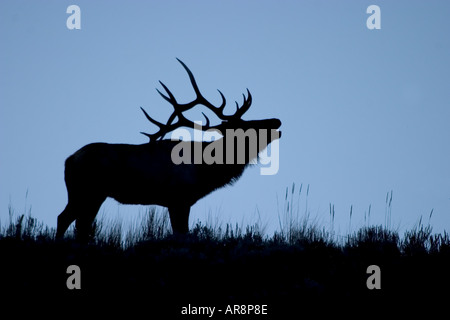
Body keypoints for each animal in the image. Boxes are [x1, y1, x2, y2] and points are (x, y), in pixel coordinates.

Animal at [56, 59, 282, 240]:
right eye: (248, 126)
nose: (276, 121)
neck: (205, 171)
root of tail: (68, 159)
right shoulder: (178, 199)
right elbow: (181, 233)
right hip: (86, 190)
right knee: (64, 218)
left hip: (92, 195)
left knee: (80, 224)